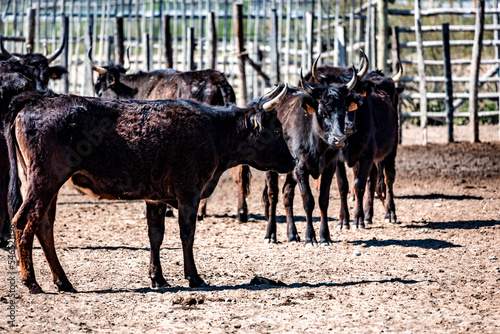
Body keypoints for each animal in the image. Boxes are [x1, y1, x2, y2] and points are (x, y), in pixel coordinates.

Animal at [262, 63, 360, 245]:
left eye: (344, 111)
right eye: (322, 112)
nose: (339, 139)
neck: (316, 143)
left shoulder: (329, 167)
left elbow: (323, 200)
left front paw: (325, 236)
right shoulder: (301, 168)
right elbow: (308, 200)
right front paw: (310, 237)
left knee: (287, 194)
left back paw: (292, 234)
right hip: (271, 169)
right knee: (273, 196)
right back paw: (270, 234)